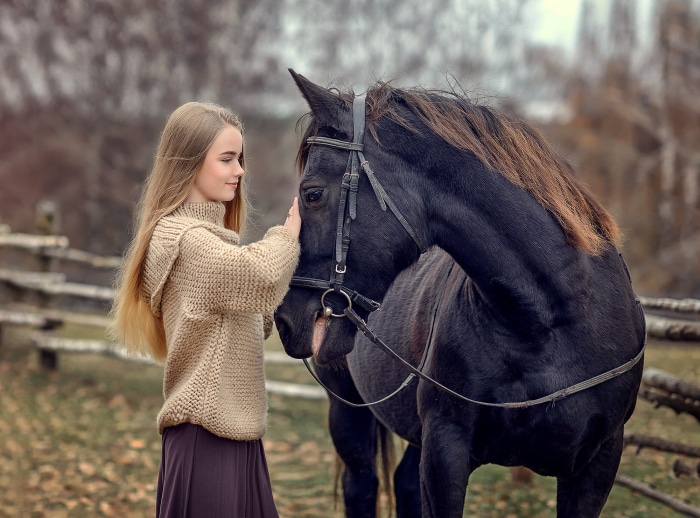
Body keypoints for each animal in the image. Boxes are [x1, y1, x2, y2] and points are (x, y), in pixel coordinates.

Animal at [274, 70, 647, 517]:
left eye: (312, 193)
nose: (285, 320)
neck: (551, 321)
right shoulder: (445, 452)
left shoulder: (597, 464)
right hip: (347, 411)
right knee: (362, 487)